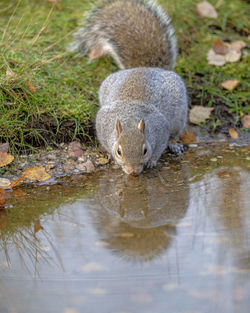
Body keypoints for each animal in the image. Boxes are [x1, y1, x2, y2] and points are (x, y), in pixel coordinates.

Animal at [70, 0, 188, 176]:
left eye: (145, 150)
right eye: (119, 151)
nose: (133, 171)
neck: (131, 120)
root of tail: (145, 68)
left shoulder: (161, 130)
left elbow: (160, 147)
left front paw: (152, 161)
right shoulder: (103, 126)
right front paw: (110, 156)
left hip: (179, 116)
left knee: (174, 134)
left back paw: (174, 144)